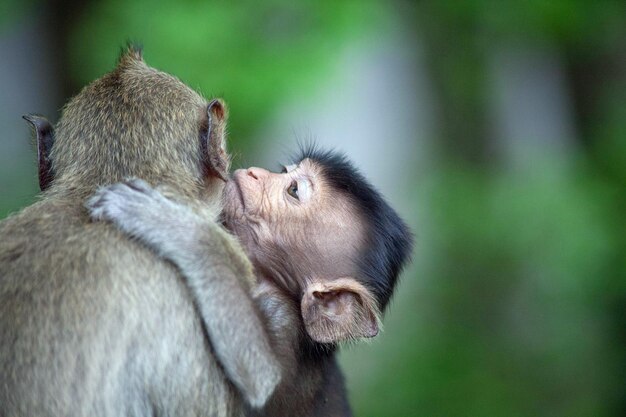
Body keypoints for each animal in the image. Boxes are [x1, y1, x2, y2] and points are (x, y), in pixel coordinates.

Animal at [85, 145, 412, 414]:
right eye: (285, 170)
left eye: (294, 190)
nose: (256, 172)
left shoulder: (282, 312)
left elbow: (260, 376)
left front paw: (176, 227)